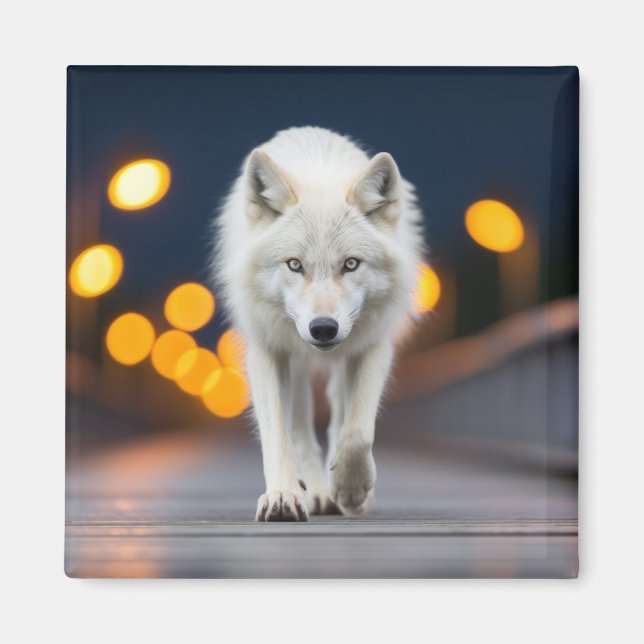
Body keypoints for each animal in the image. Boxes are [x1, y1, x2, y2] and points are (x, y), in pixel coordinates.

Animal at [212, 126, 425, 521]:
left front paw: (352, 487)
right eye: (295, 265)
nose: (323, 328)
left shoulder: (373, 346)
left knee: (340, 412)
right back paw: (314, 491)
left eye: (351, 264)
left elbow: (356, 430)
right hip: (294, 367)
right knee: (301, 426)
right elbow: (279, 436)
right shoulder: (268, 352)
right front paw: (283, 495)